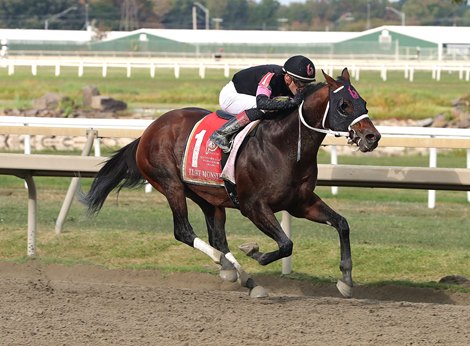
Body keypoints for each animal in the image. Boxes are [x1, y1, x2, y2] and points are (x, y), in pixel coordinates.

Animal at [81, 67, 382, 298]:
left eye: (364, 103)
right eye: (344, 105)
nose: (372, 137)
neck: (283, 146)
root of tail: (148, 131)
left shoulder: (302, 203)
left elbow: (342, 224)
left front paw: (346, 280)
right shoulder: (254, 206)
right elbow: (286, 244)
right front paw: (254, 251)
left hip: (207, 196)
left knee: (218, 237)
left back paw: (240, 276)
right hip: (171, 185)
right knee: (184, 231)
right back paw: (228, 266)